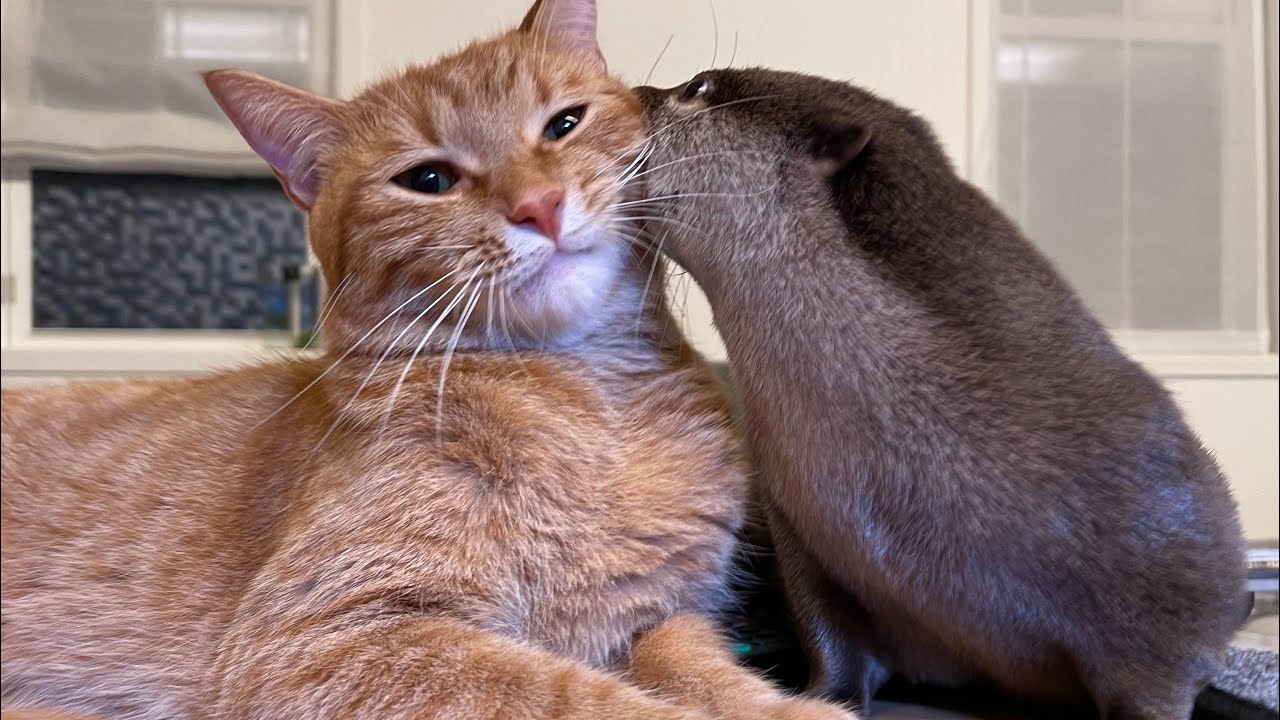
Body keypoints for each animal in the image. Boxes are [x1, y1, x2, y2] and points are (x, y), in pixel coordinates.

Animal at [633, 69, 1246, 720]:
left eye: (698, 87)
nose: (631, 92)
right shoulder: (800, 533)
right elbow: (833, 640)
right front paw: (823, 698)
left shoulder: (1174, 552)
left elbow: (1165, 663)